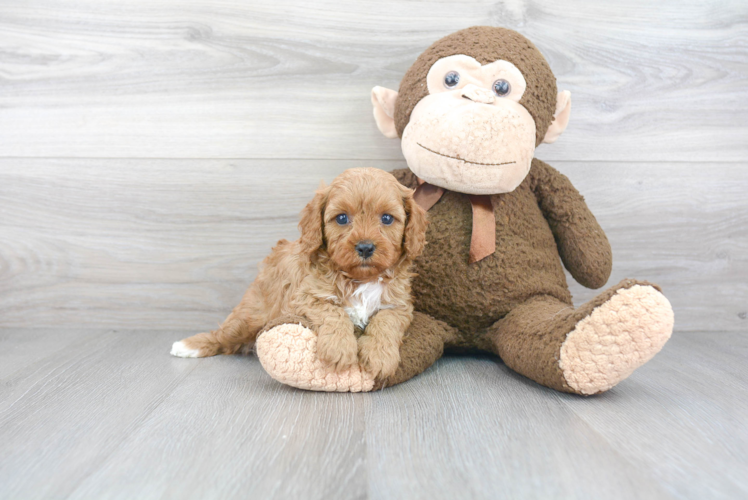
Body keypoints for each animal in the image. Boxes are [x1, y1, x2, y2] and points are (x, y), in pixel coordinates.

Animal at [170, 166, 426, 376]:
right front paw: (339, 348)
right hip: (250, 316)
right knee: (222, 335)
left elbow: (386, 321)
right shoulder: (305, 297)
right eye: (342, 218)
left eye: (387, 218)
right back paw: (189, 346)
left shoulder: (400, 305)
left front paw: (379, 356)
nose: (365, 247)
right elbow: (334, 312)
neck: (359, 279)